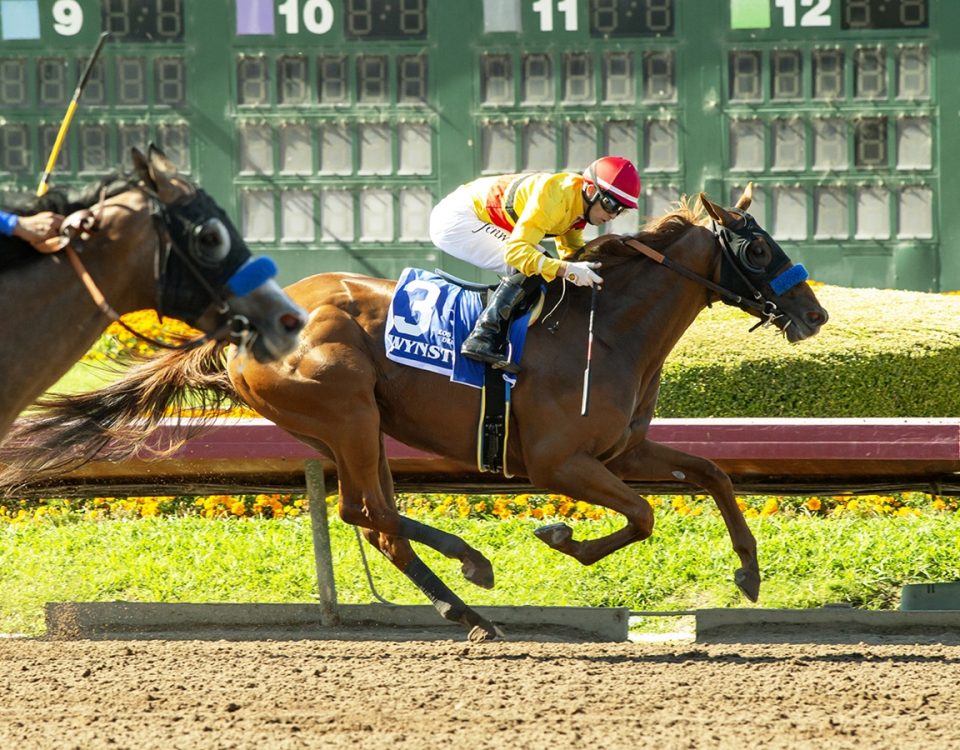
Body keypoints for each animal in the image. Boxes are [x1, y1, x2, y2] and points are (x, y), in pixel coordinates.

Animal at [0, 188, 824, 640]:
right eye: (756, 246)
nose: (814, 312)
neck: (610, 329)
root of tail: (236, 328)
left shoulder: (622, 452)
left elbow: (714, 471)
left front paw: (749, 570)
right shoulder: (560, 462)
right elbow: (644, 516)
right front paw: (560, 537)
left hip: (351, 425)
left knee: (370, 514)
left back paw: (470, 575)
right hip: (347, 413)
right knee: (378, 520)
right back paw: (473, 600)